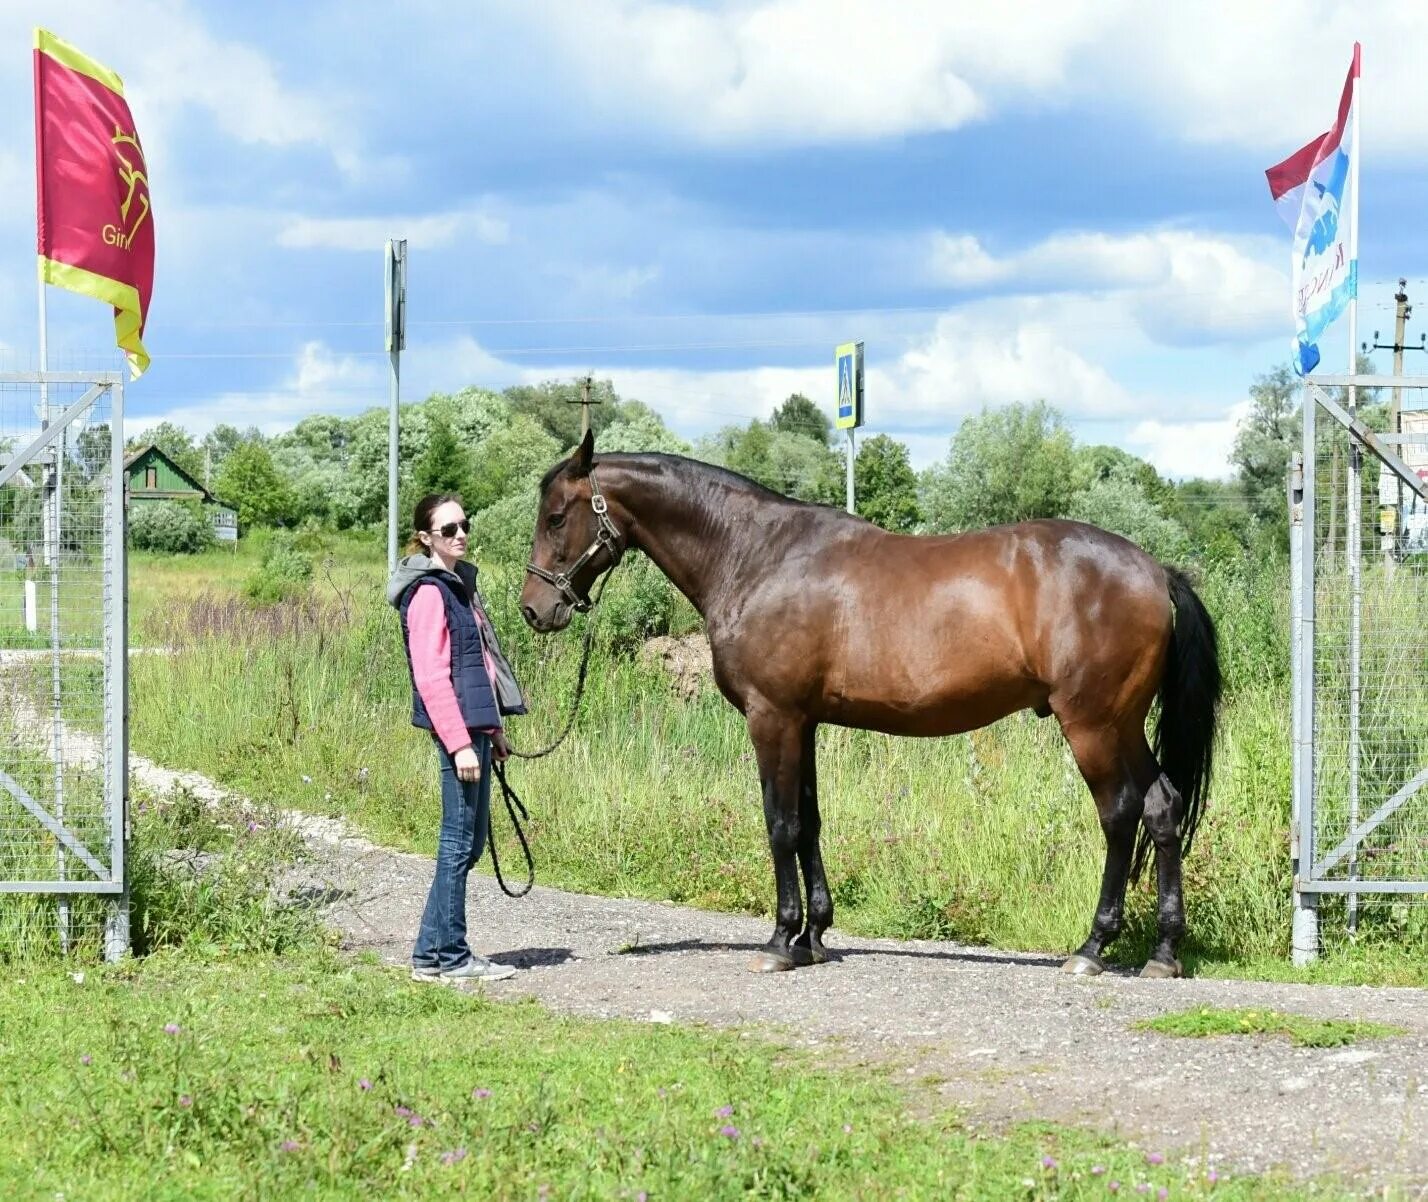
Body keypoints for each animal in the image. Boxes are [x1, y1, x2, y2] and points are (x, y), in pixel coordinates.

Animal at [519, 436, 1222, 976]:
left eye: (555, 516)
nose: (534, 608)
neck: (755, 555)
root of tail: (1154, 570)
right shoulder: (802, 722)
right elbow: (808, 821)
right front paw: (814, 937)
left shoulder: (771, 717)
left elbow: (780, 824)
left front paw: (781, 941)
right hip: (1124, 726)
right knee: (1161, 808)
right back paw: (1163, 953)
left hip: (1093, 725)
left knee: (1120, 815)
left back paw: (1093, 948)